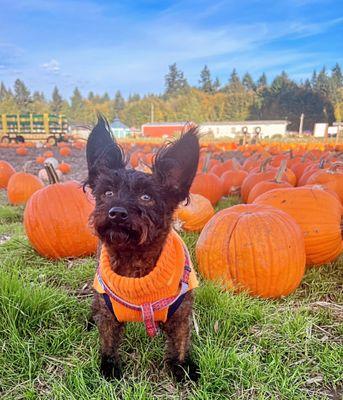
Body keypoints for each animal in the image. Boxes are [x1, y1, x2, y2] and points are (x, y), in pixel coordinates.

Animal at [86, 116, 202, 382]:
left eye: (146, 197)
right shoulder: (108, 314)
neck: (134, 263)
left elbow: (180, 341)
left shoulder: (181, 316)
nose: (117, 212)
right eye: (108, 192)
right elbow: (108, 340)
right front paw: (109, 367)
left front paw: (181, 366)